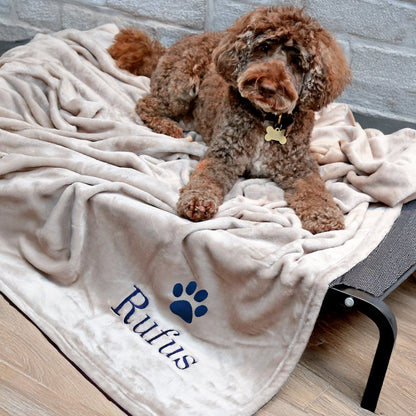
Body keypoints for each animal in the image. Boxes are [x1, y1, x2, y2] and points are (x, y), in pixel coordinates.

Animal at [108, 4, 352, 234]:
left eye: (297, 60)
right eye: (264, 47)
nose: (266, 87)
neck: (266, 117)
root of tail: (166, 49)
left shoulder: (299, 166)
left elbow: (316, 190)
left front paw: (326, 217)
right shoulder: (224, 155)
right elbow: (206, 177)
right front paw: (197, 200)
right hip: (181, 87)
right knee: (146, 103)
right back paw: (168, 127)